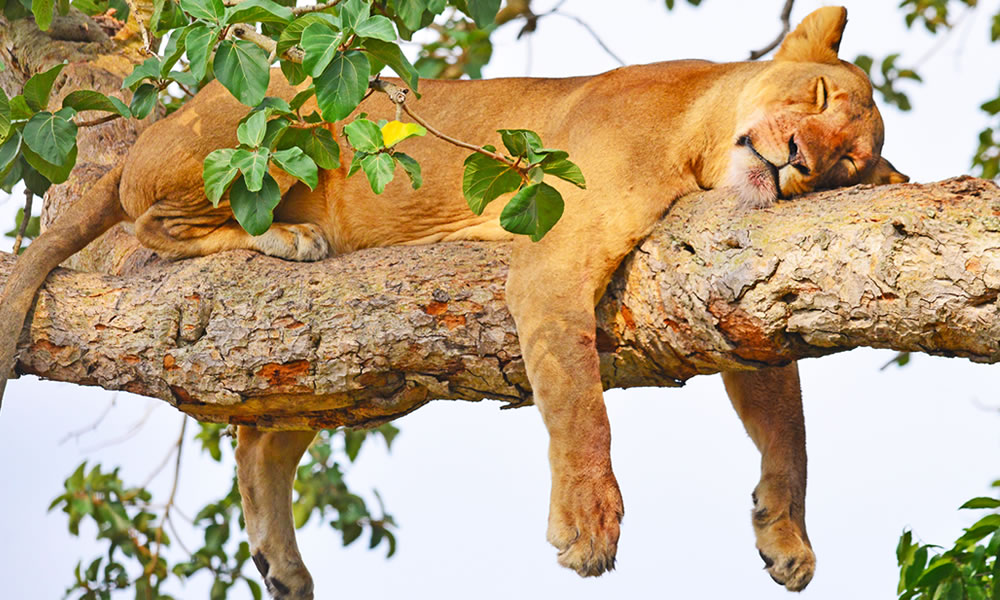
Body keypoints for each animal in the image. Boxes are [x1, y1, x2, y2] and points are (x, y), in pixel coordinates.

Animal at [0, 5, 908, 600]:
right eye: (819, 101)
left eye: (846, 164)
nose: (797, 161)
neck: (704, 137)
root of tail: (157, 125)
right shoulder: (551, 262)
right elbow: (580, 406)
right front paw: (588, 524)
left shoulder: (729, 296)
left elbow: (786, 424)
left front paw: (786, 535)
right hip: (275, 114)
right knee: (149, 215)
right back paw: (286, 238)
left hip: (352, 375)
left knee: (262, 438)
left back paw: (281, 567)